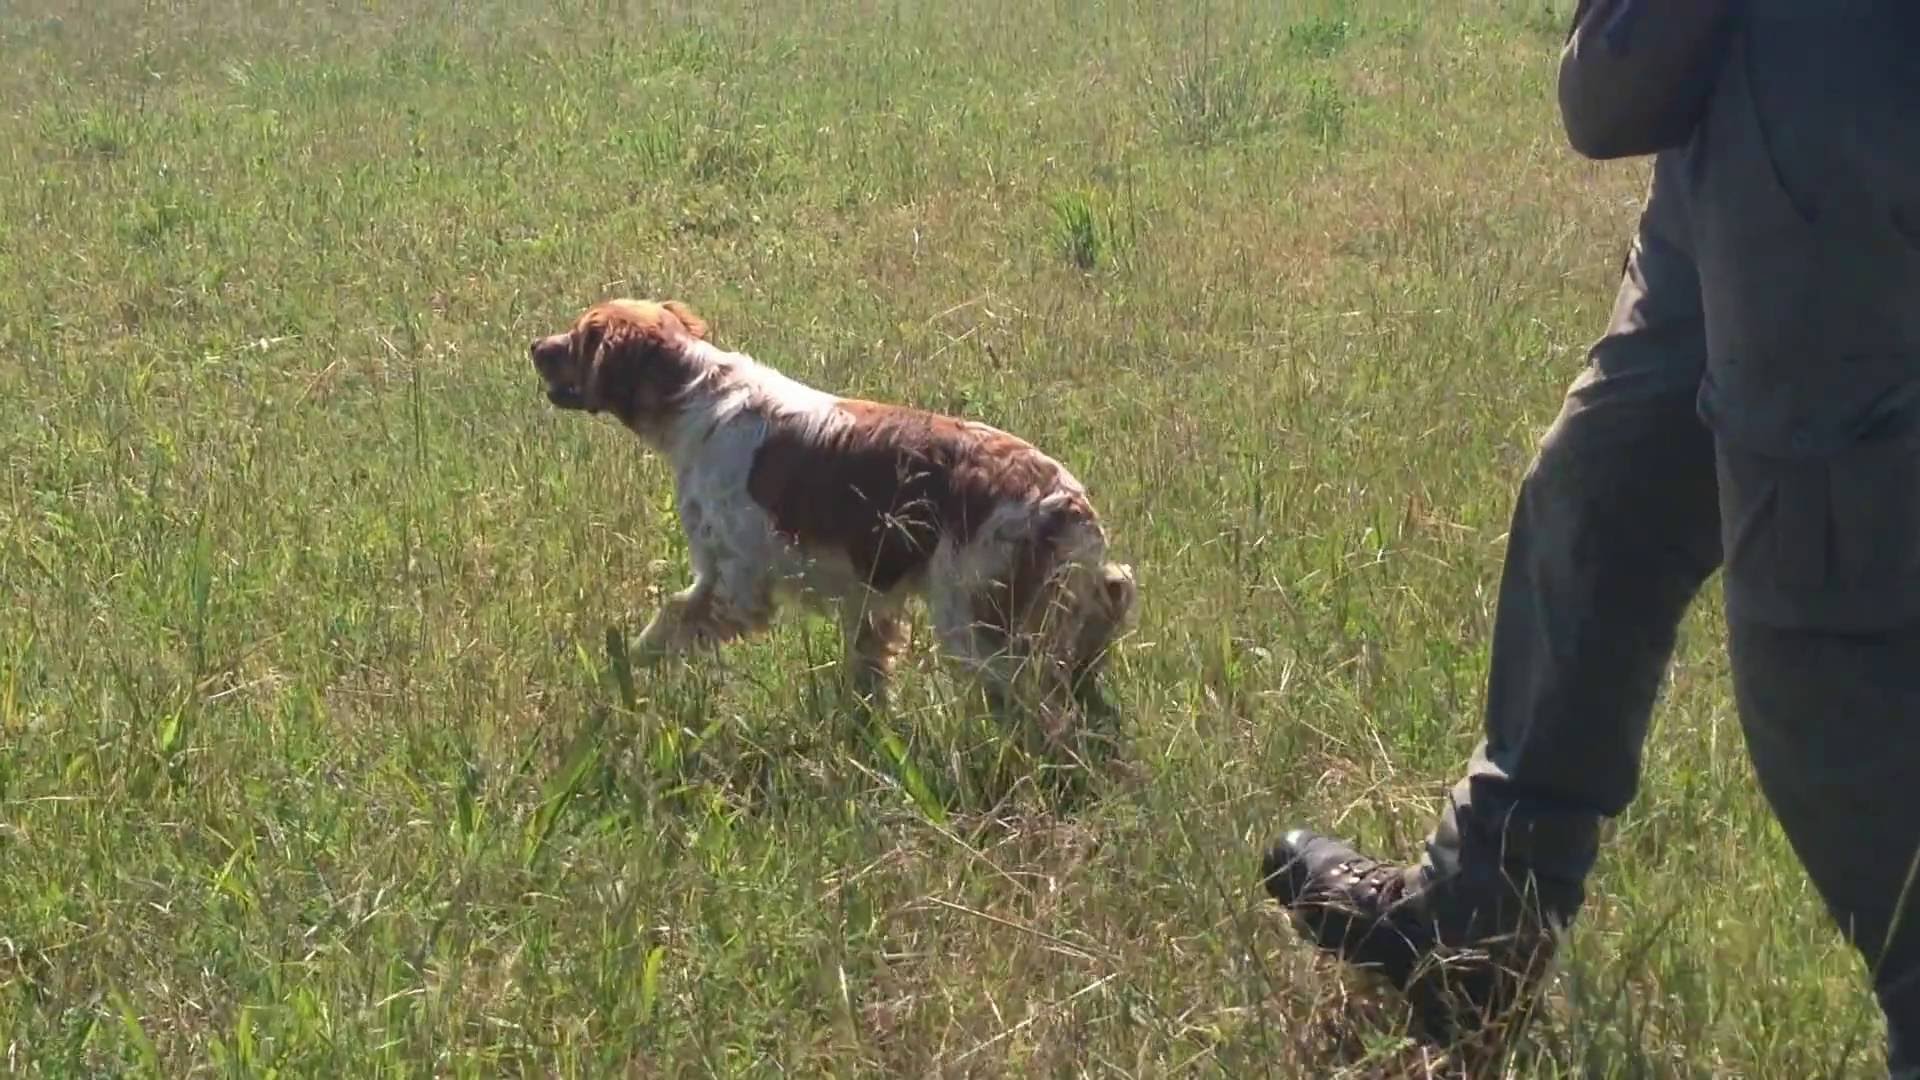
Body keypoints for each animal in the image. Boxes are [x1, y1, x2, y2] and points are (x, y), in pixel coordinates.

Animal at [526, 297, 1128, 718]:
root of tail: (1066, 500)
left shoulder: (736, 583)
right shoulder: (864, 603)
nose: (535, 345)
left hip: (976, 626)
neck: (698, 398)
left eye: (580, 335)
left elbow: (666, 621)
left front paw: (618, 683)